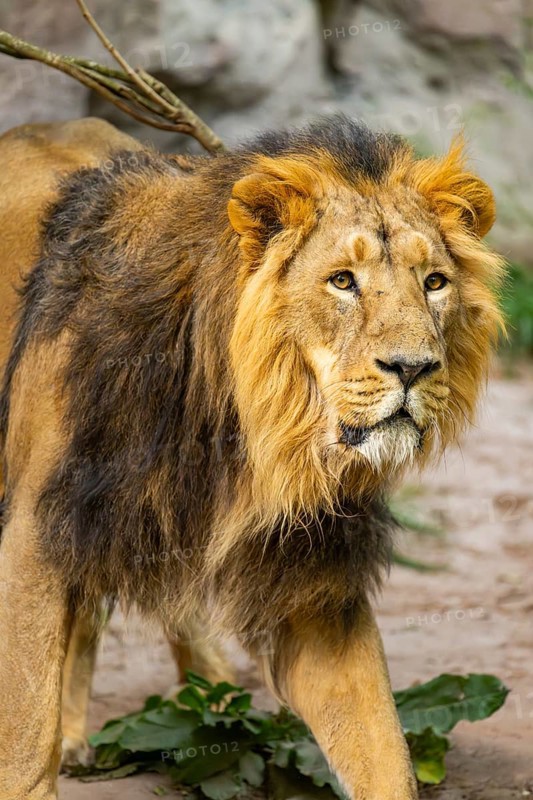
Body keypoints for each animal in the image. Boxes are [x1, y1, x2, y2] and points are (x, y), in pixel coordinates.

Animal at [0, 114, 504, 800]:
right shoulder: (38, 528)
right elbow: (26, 728)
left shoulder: (314, 581)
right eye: (342, 281)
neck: (242, 429)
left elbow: (381, 745)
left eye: (434, 283)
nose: (414, 368)